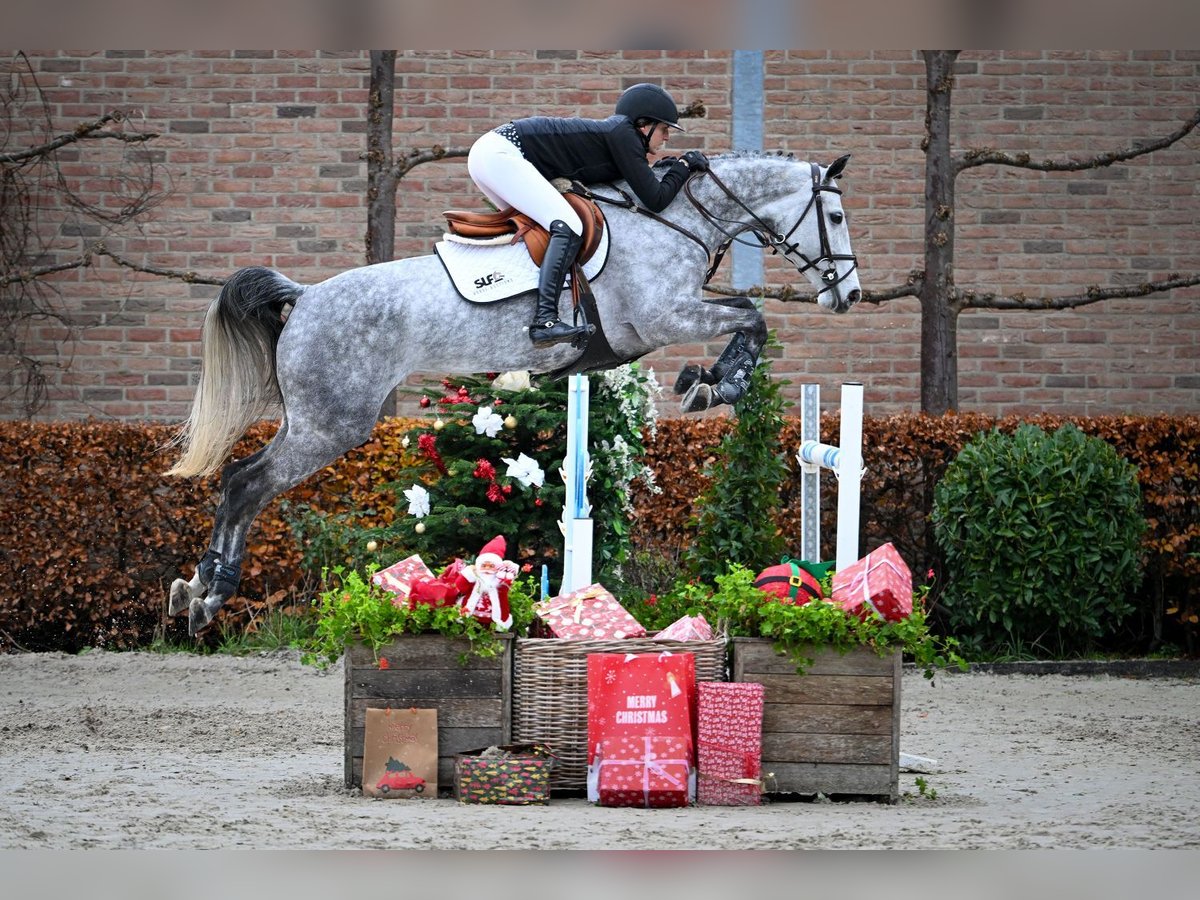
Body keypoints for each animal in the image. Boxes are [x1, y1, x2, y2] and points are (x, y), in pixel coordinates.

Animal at [169, 153, 864, 633]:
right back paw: (212, 595)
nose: (850, 296)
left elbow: (746, 314)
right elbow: (753, 316)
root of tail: (306, 295)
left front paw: (707, 382)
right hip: (332, 424)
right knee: (247, 484)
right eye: (834, 218)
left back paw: (195, 590)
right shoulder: (665, 317)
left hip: (312, 420)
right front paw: (716, 385)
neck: (679, 221)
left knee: (238, 480)